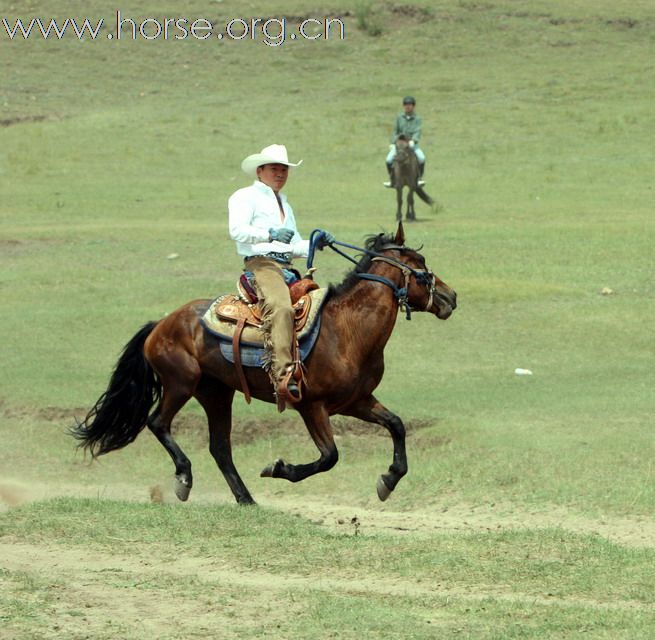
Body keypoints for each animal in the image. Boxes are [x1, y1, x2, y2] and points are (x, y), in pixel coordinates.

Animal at [72, 225, 456, 504]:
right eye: (421, 266)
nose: (451, 297)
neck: (347, 329)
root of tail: (161, 324)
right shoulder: (311, 405)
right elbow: (329, 457)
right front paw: (278, 468)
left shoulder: (356, 401)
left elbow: (397, 425)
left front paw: (388, 480)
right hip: (181, 383)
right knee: (158, 423)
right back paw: (184, 478)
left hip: (216, 393)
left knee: (220, 447)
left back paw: (246, 499)